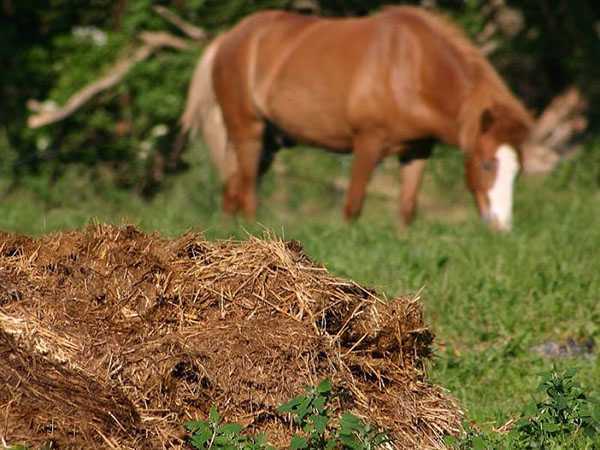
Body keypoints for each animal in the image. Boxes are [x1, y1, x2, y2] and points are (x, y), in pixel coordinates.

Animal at [180, 6, 532, 230]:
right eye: (486, 165)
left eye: (517, 171)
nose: (502, 226)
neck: (411, 67)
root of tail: (228, 38)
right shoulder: (367, 143)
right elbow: (353, 206)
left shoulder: (417, 150)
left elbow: (407, 209)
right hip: (247, 131)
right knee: (248, 191)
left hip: (268, 141)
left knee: (232, 189)